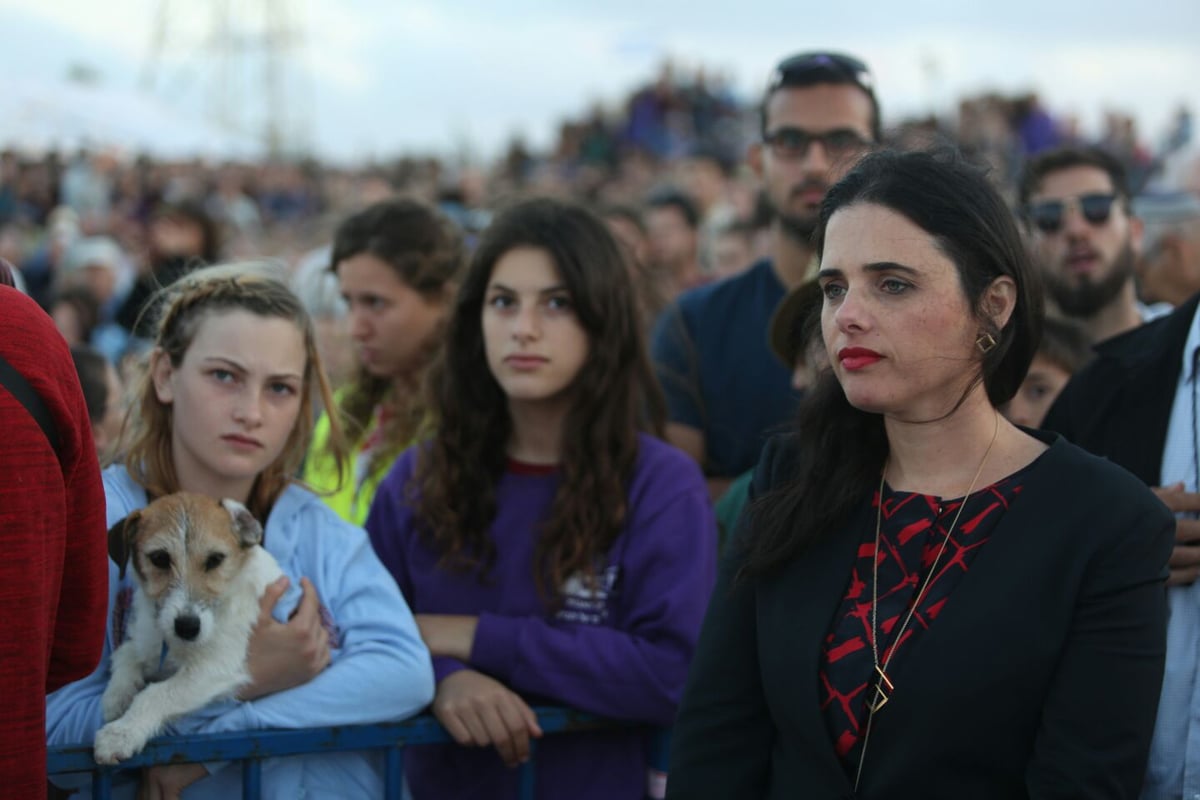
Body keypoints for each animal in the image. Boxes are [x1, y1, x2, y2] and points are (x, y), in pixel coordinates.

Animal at [94, 491, 283, 767]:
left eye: (215, 560)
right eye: (160, 558)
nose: (187, 627)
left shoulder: (215, 666)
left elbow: (156, 694)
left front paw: (122, 733)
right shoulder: (146, 641)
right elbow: (125, 655)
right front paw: (116, 696)